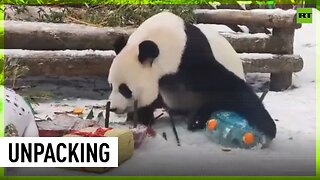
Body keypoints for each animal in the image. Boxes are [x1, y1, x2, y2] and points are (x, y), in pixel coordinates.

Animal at [108, 11, 278, 141]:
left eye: (125, 89)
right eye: (111, 85)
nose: (114, 108)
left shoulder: (187, 57)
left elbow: (224, 84)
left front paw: (268, 126)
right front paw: (141, 118)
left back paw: (197, 120)